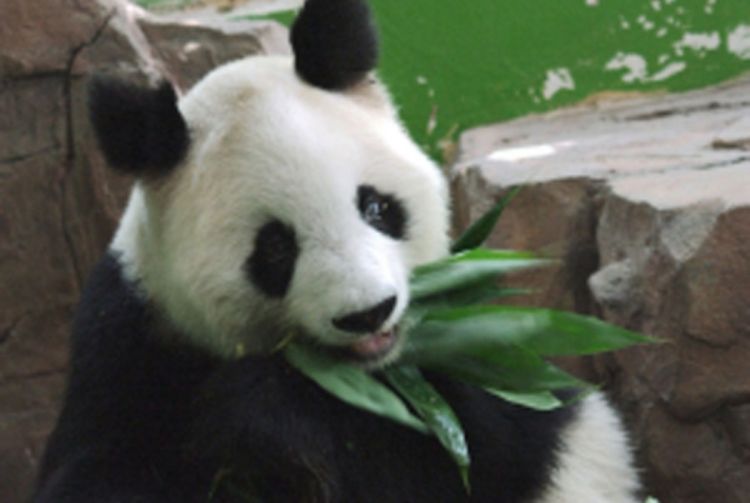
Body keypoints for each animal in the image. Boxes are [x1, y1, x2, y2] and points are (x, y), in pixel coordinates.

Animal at [33, 0, 640, 502]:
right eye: (275, 249)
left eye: (374, 206)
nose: (367, 313)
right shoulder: (130, 345)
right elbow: (97, 472)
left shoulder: (476, 355)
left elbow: (462, 454)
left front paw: (260, 412)